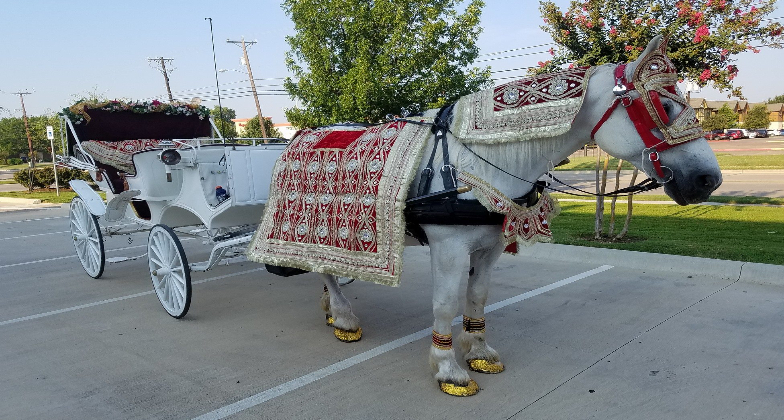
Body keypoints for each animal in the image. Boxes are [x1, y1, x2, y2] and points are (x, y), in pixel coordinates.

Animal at [316, 35, 720, 394]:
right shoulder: (448, 248)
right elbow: (445, 304)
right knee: (325, 268)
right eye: (664, 105)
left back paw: (329, 308)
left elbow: (478, 295)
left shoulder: (490, 246)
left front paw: (478, 351)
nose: (709, 179)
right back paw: (344, 317)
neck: (476, 160)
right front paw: (448, 370)